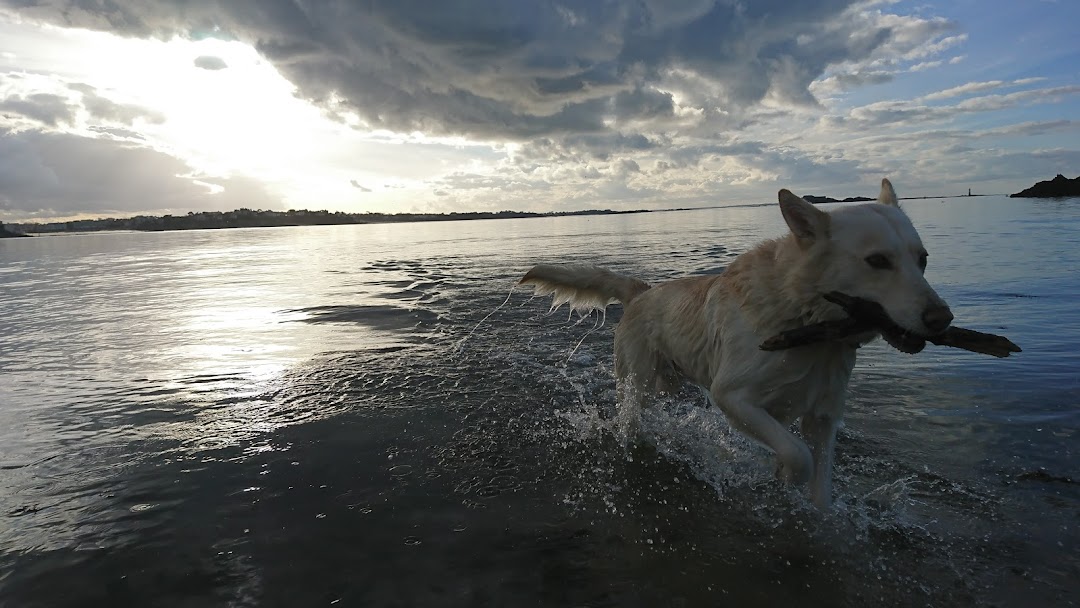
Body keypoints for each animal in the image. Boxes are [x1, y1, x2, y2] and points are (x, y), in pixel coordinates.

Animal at [522, 179, 954, 509]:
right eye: (878, 261)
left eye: (923, 259)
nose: (942, 319)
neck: (804, 319)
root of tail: (642, 291)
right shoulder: (732, 396)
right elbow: (798, 456)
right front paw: (785, 478)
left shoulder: (823, 416)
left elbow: (822, 491)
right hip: (637, 382)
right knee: (629, 416)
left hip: (668, 383)